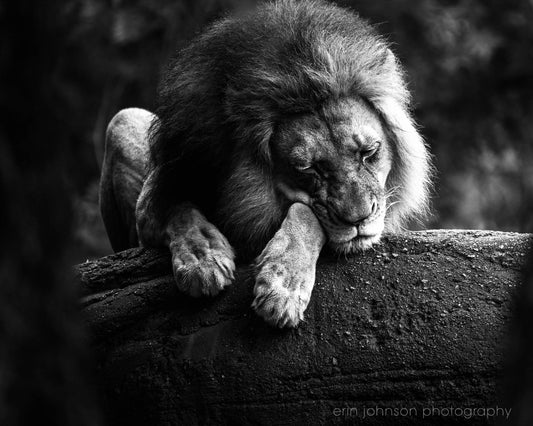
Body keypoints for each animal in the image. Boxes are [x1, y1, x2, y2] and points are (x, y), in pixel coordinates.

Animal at [100, 0, 432, 330]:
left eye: (369, 152)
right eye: (308, 169)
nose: (359, 219)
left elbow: (304, 212)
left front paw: (282, 286)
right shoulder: (158, 194)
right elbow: (179, 209)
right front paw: (202, 259)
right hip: (123, 119)